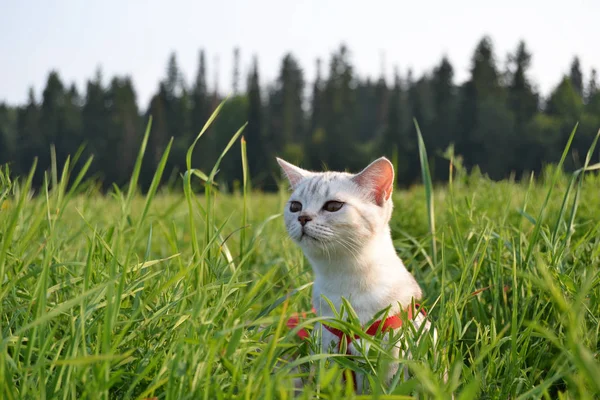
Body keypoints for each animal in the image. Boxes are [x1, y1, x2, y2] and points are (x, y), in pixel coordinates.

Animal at [276, 156, 436, 394]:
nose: (303, 218)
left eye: (333, 206)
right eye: (295, 207)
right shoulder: (326, 352)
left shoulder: (387, 362)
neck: (342, 279)